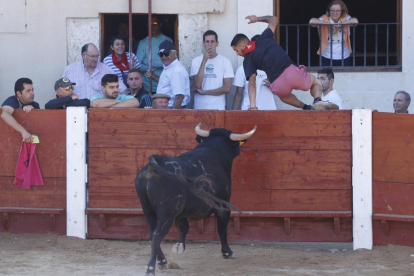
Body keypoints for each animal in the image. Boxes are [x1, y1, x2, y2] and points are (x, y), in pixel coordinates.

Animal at [135, 124, 256, 274]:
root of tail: (153, 164)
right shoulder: (223, 205)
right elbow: (222, 229)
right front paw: (227, 252)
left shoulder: (180, 212)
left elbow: (184, 227)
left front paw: (179, 246)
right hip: (166, 212)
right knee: (157, 234)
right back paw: (151, 268)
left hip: (147, 209)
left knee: (152, 234)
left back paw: (162, 261)